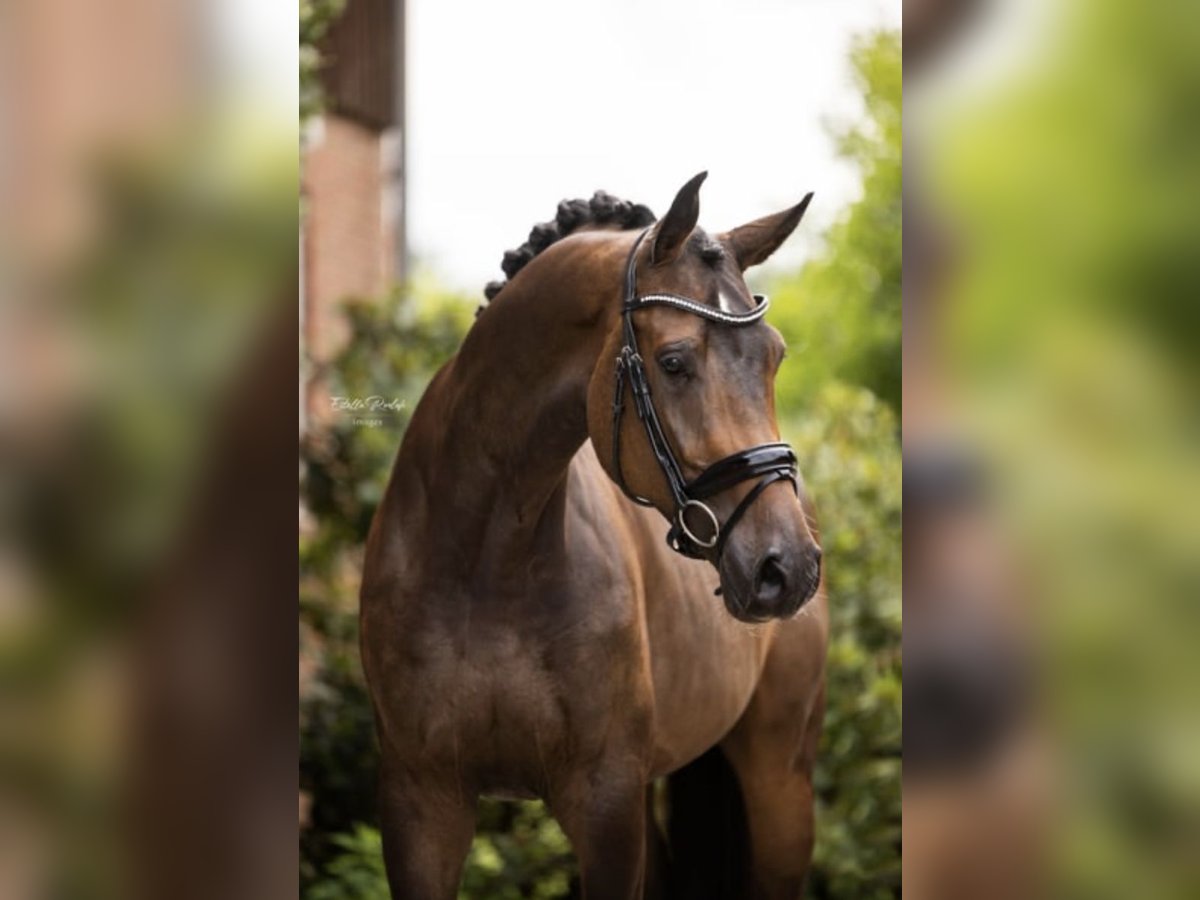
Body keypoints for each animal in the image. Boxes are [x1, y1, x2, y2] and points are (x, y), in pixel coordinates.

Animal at [357, 172, 825, 897]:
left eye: (774, 357)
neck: (486, 559)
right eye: (673, 361)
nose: (789, 566)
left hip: (780, 782)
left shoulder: (605, 803)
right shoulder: (419, 802)